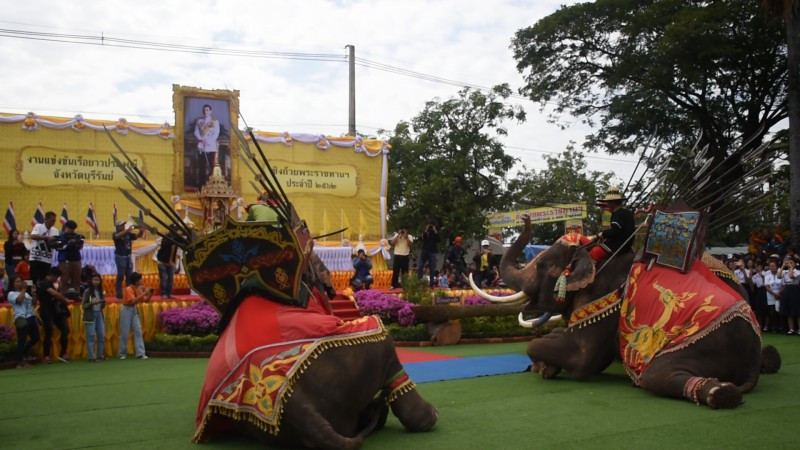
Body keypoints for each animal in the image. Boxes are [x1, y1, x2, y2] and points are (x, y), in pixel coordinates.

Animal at [476, 214, 780, 408]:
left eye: (540, 266)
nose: (526, 217)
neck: (596, 256)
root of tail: (752, 360)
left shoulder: (604, 301)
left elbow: (581, 359)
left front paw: (545, 368)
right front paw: (543, 364)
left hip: (704, 343)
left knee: (658, 374)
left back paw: (719, 393)